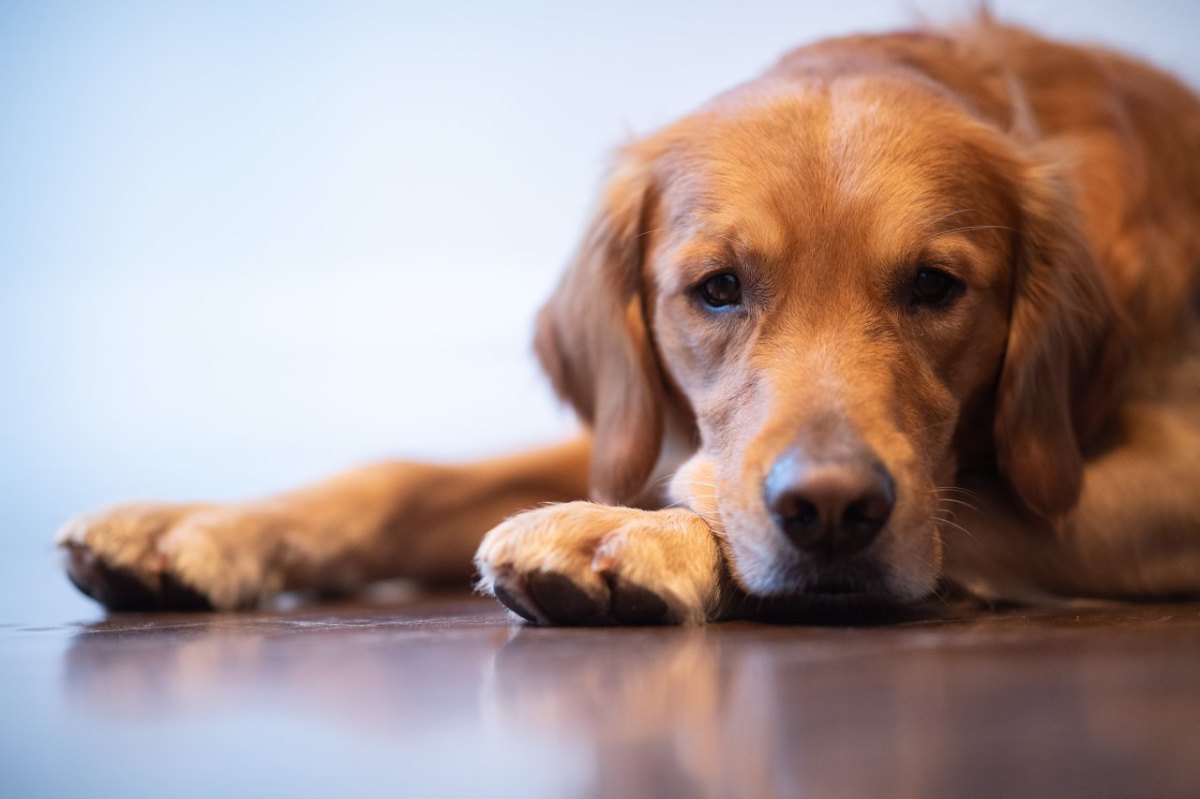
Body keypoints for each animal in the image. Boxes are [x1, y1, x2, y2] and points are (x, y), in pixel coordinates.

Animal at [58, 15, 1200, 619]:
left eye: (934, 286)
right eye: (718, 288)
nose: (830, 508)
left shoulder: (1163, 472)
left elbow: (973, 504)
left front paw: (629, 535)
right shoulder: (637, 428)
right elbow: (406, 475)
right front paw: (202, 526)